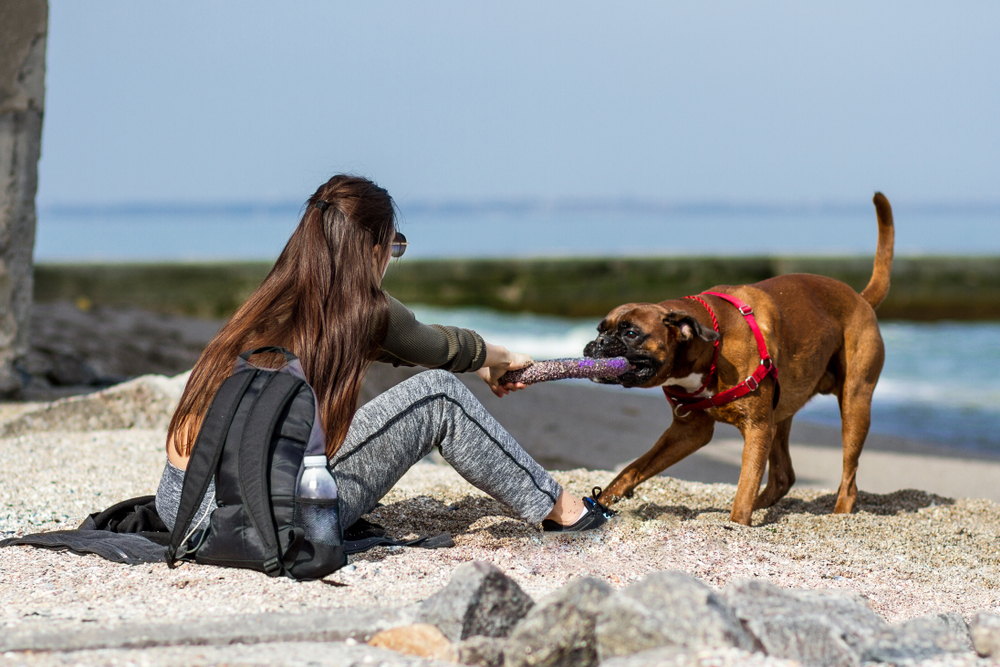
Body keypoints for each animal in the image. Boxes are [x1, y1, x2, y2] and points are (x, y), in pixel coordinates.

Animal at [584, 190, 896, 524]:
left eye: (630, 333)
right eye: (600, 329)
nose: (597, 343)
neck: (710, 345)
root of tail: (861, 299)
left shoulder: (756, 428)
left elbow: (745, 484)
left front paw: (736, 523)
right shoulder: (689, 432)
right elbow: (633, 469)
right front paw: (603, 500)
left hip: (853, 404)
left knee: (848, 481)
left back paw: (835, 513)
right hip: (781, 416)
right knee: (783, 476)